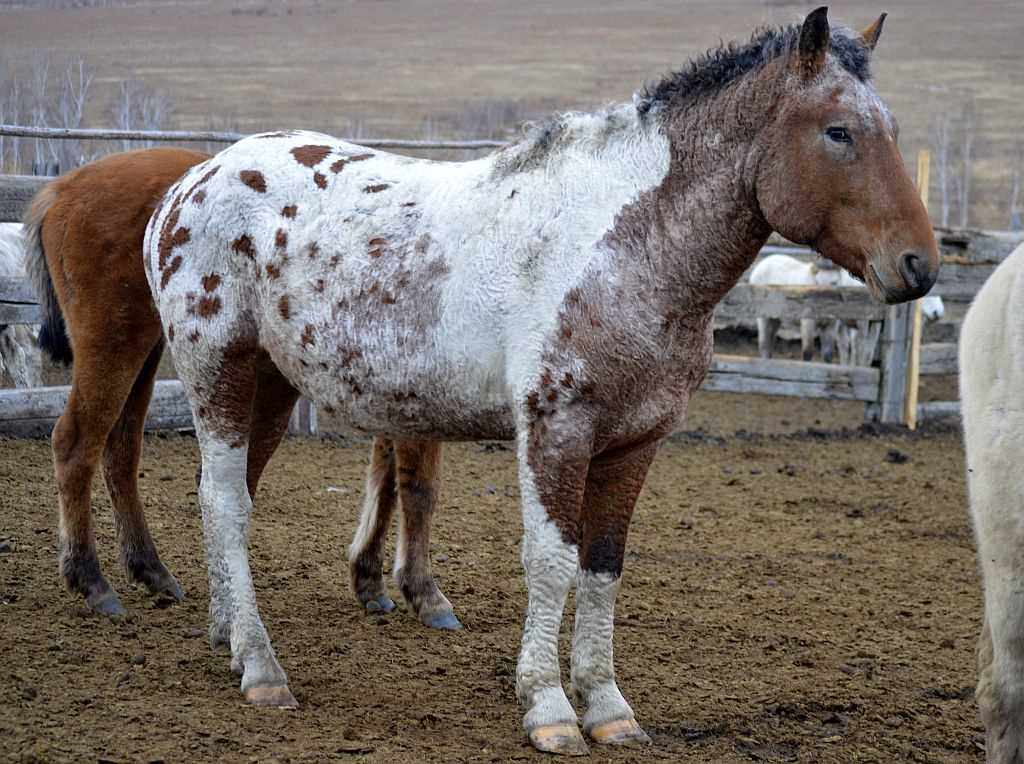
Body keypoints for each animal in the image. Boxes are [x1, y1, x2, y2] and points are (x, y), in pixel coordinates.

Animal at [24, 148, 456, 626]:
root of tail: (64, 188)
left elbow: (386, 484)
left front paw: (370, 579)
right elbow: (418, 488)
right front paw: (425, 592)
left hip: (146, 352)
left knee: (120, 452)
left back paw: (151, 569)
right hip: (115, 346)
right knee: (76, 444)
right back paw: (91, 580)